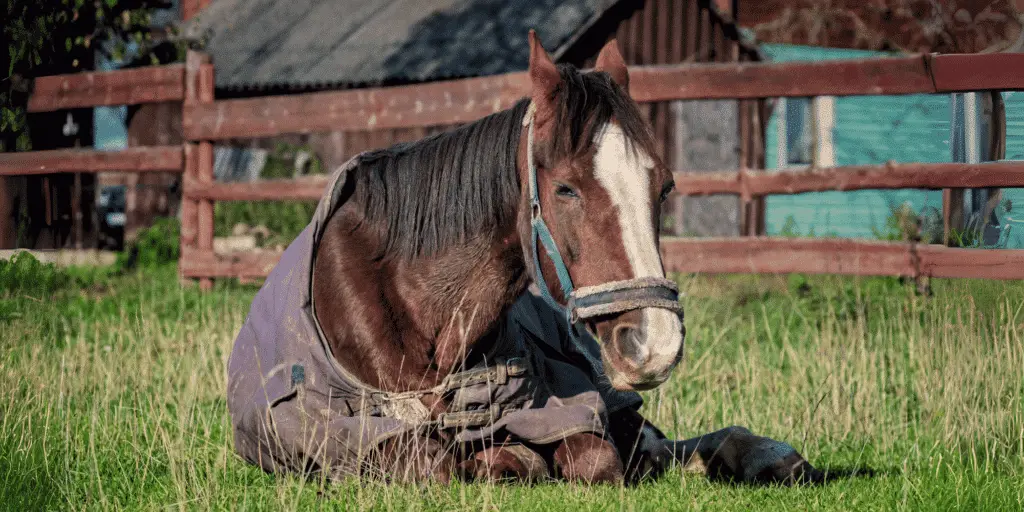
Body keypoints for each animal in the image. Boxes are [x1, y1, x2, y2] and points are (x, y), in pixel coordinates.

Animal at [226, 29, 823, 485]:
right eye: (565, 189)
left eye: (665, 186)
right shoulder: (363, 437)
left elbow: (595, 457)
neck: (415, 307)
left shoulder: (571, 406)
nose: (655, 343)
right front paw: (504, 457)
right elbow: (439, 463)